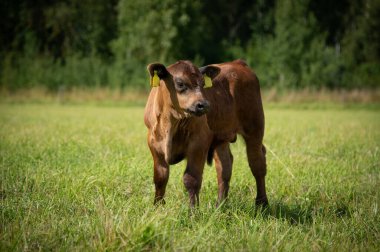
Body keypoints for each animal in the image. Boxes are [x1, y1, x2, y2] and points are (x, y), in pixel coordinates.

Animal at [144, 60, 268, 208]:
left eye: (203, 84)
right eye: (180, 83)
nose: (203, 105)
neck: (171, 124)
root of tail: (238, 62)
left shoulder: (199, 143)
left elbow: (191, 179)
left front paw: (193, 211)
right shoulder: (154, 144)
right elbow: (160, 177)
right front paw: (158, 207)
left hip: (255, 128)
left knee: (257, 164)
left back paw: (262, 204)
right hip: (222, 137)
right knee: (224, 167)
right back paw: (220, 205)